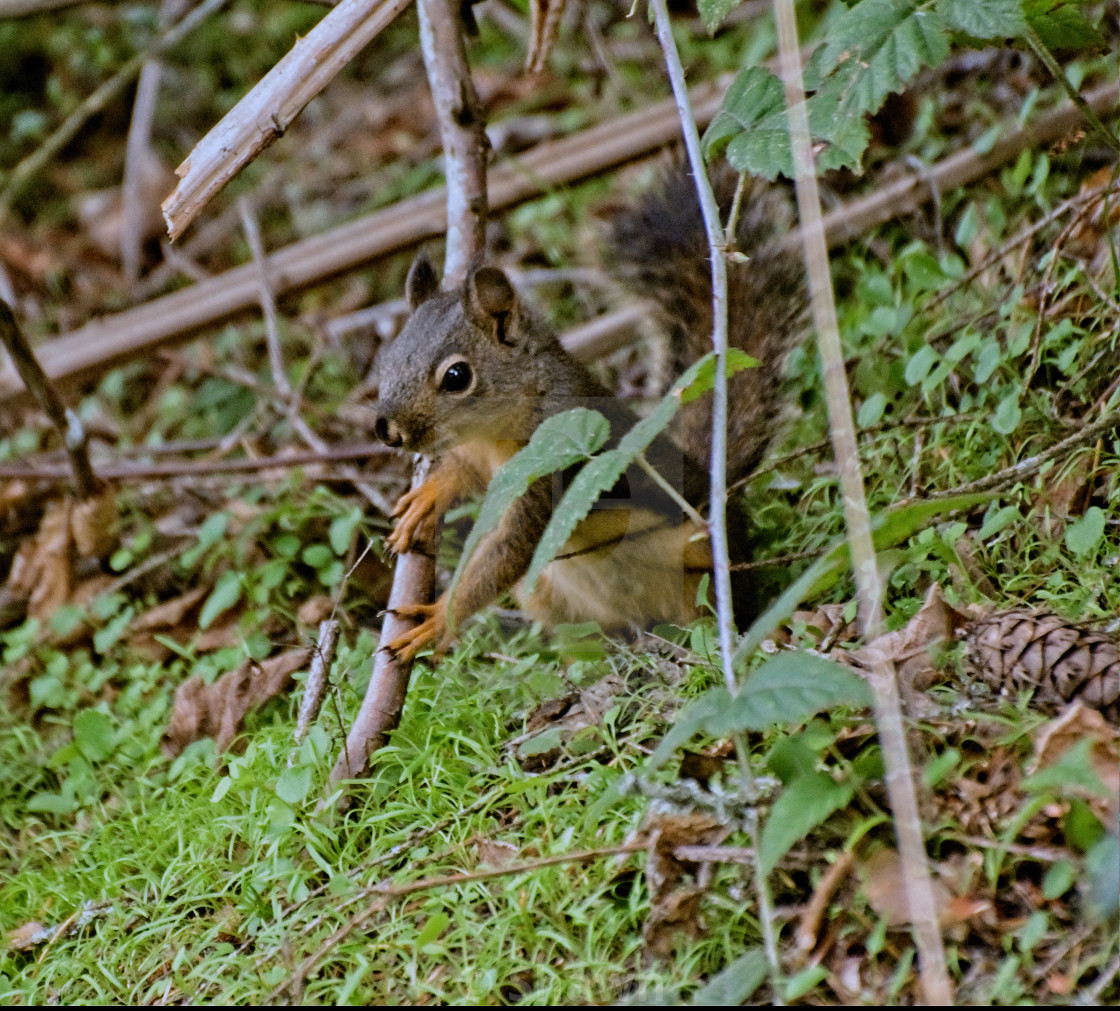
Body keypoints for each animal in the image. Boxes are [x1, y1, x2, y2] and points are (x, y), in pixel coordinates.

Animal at [374, 167, 806, 662]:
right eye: (387, 361)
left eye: (457, 376)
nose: (388, 431)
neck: (496, 429)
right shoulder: (480, 461)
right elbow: (459, 473)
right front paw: (427, 499)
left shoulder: (547, 474)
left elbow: (506, 555)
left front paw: (434, 621)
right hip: (546, 593)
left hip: (703, 560)